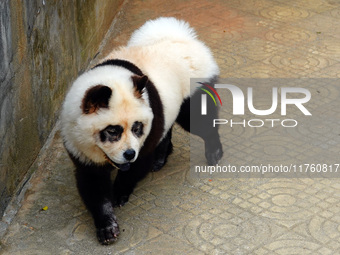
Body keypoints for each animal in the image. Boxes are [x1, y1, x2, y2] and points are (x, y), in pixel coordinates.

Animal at [61, 16, 223, 244]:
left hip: (194, 85)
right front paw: (107, 226)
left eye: (137, 127)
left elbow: (138, 165)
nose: (129, 154)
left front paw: (119, 193)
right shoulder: (77, 141)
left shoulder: (147, 127)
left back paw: (214, 151)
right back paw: (161, 158)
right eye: (112, 131)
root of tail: (183, 37)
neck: (108, 81)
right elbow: (92, 182)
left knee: (199, 121)